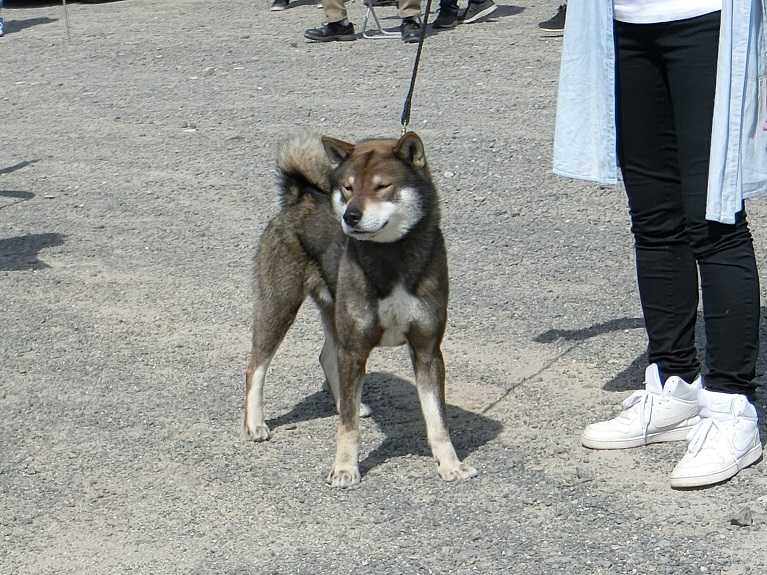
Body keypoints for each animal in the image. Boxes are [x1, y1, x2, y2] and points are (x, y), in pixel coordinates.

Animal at [243, 130, 476, 486]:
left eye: (382, 186)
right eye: (348, 188)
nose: (349, 216)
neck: (390, 257)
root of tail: (299, 196)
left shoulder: (427, 350)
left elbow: (437, 420)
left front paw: (451, 464)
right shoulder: (355, 347)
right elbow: (348, 427)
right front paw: (344, 468)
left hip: (333, 314)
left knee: (327, 358)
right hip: (279, 305)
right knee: (256, 365)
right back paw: (255, 423)